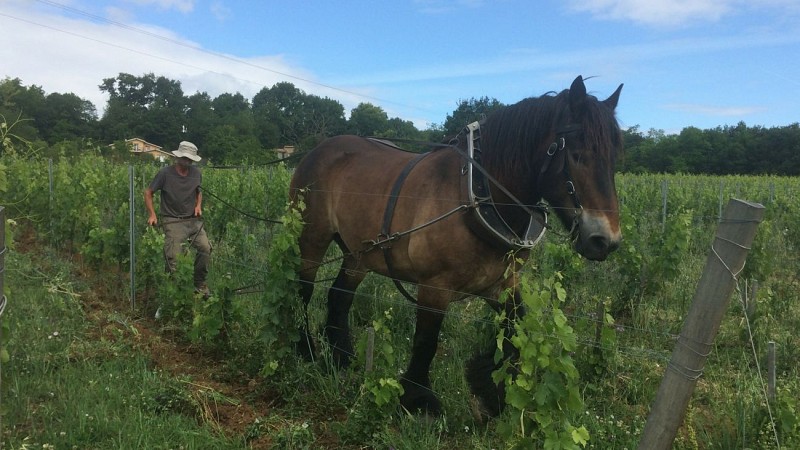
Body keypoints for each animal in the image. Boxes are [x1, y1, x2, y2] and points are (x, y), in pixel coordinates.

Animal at [288, 75, 624, 416]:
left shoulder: (501, 283)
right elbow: (427, 341)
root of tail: (320, 149)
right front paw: (418, 400)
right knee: (303, 291)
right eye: (577, 154)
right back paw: (305, 349)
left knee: (339, 296)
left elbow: (517, 330)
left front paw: (490, 388)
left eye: (613, 159)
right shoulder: (434, 286)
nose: (604, 241)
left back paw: (342, 358)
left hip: (359, 253)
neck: (477, 195)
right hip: (311, 237)